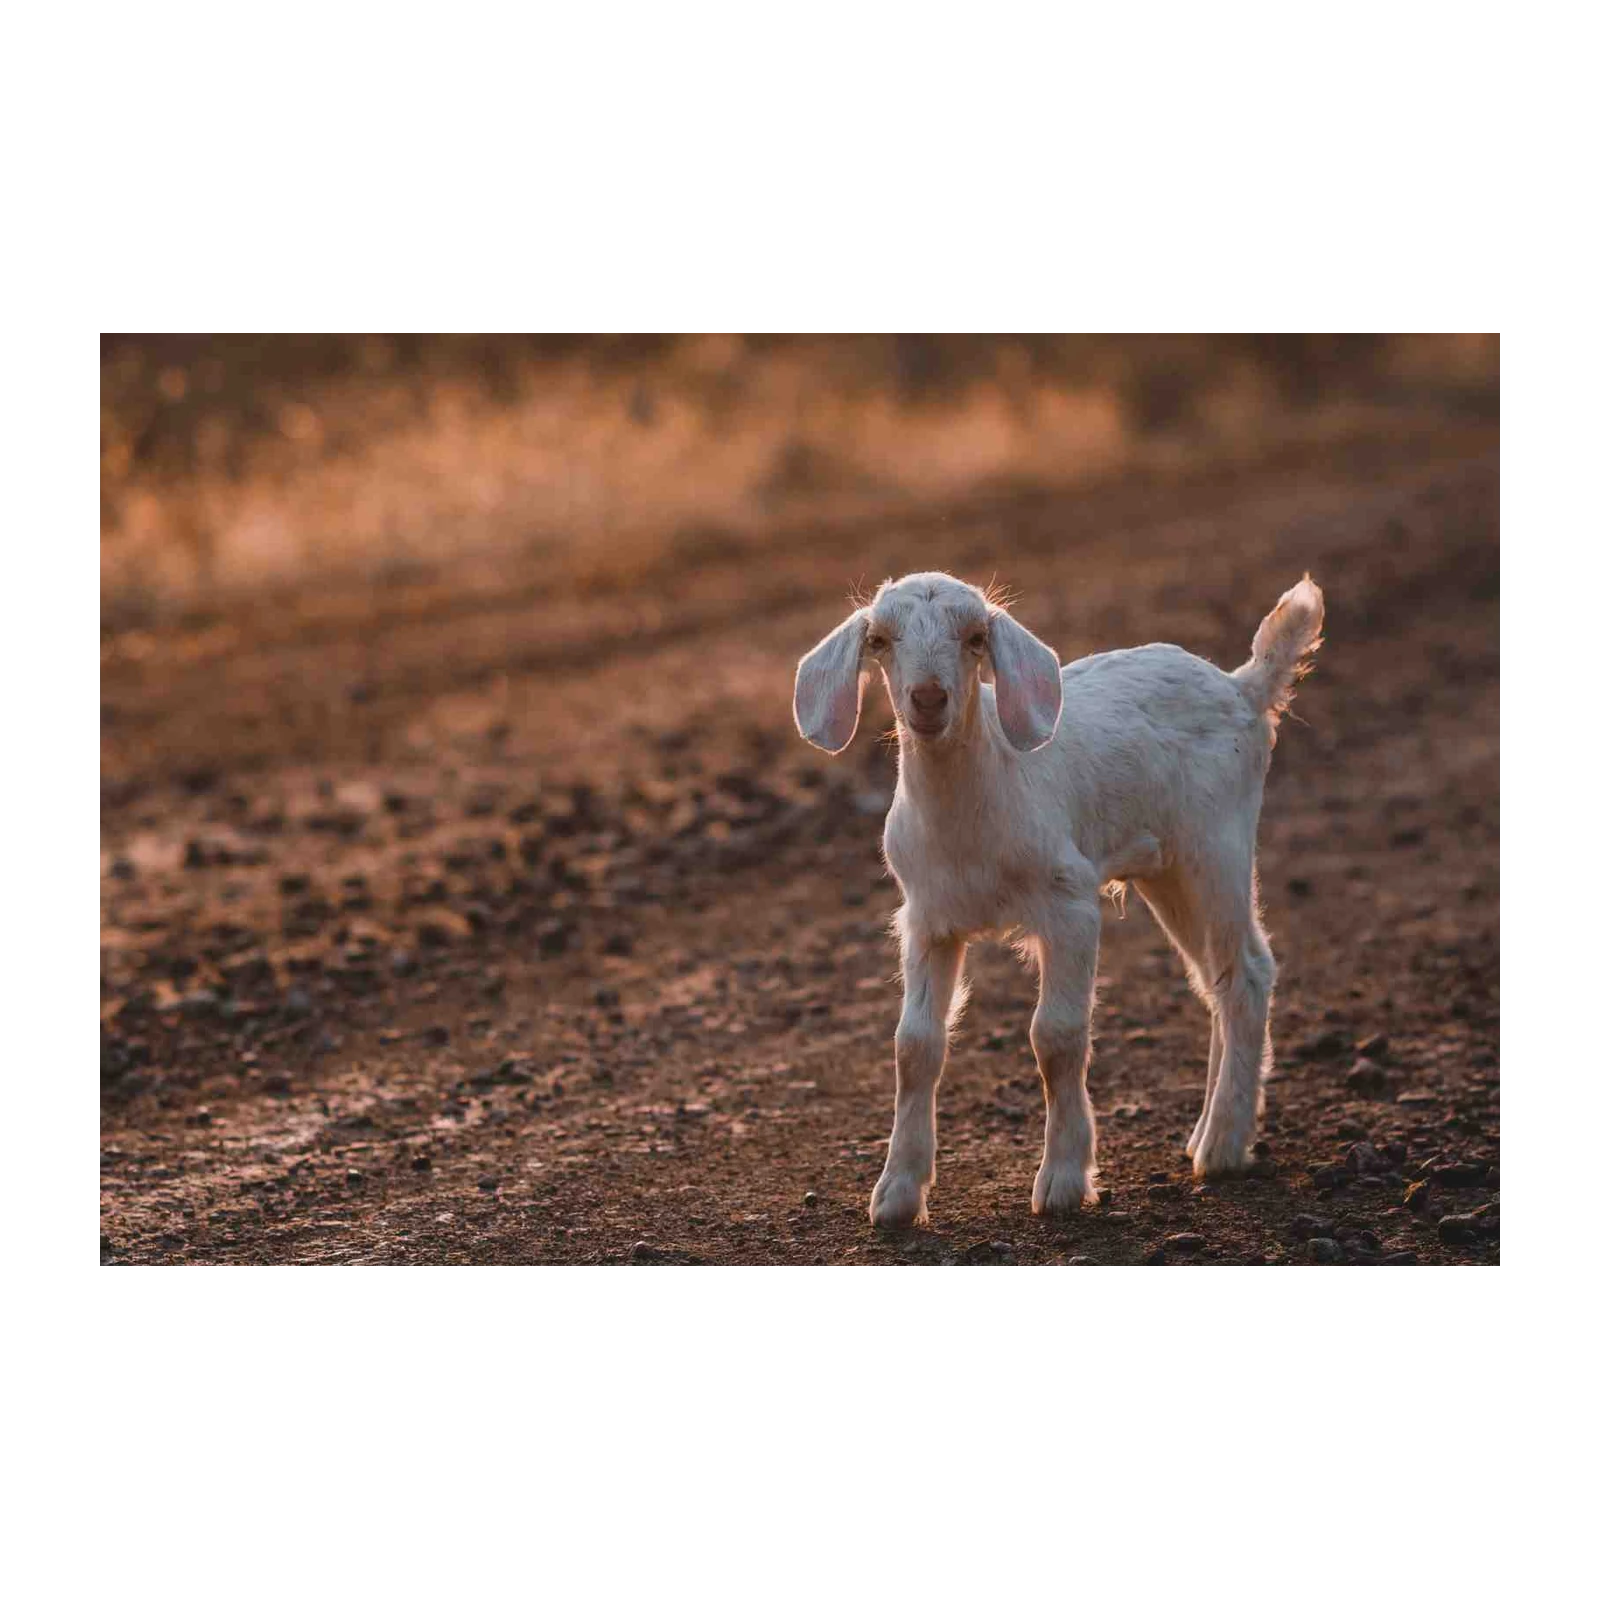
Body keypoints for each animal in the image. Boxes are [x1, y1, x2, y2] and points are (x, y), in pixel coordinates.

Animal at [793, 571, 1324, 1228]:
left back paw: (1224, 1146)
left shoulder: (1069, 905)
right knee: (1216, 984)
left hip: (1216, 845)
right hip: (1167, 872)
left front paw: (1065, 1182)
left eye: (975, 638)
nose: (928, 699)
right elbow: (914, 1046)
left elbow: (1057, 1036)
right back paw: (1207, 1131)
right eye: (881, 641)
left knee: (1247, 972)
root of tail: (1243, 687)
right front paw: (896, 1193)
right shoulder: (927, 921)